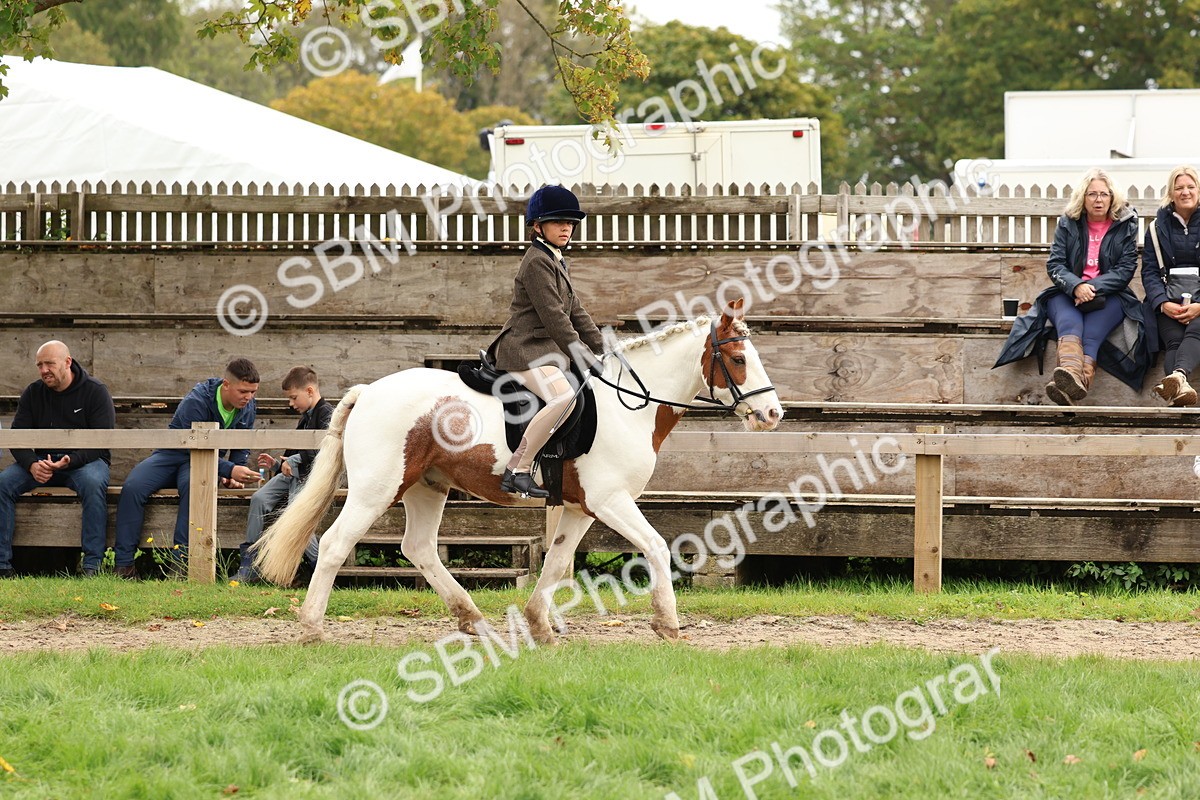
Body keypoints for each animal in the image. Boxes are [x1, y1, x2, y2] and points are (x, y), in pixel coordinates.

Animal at [253, 298, 783, 644]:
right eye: (738, 358)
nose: (773, 414)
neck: (627, 405)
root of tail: (370, 390)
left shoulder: (581, 507)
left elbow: (556, 561)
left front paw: (540, 626)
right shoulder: (611, 501)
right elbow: (654, 546)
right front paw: (668, 624)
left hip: (427, 487)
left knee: (418, 548)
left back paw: (471, 619)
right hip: (376, 489)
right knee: (336, 545)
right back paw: (312, 629)